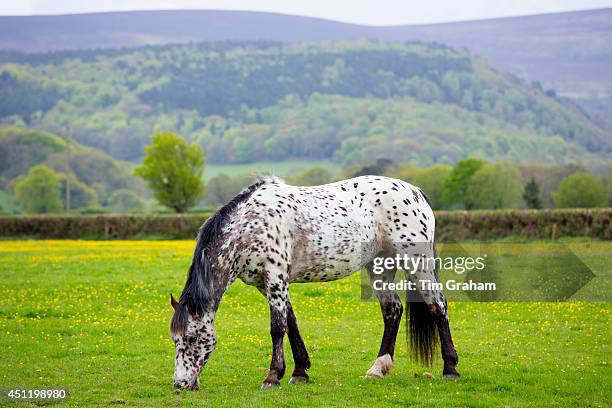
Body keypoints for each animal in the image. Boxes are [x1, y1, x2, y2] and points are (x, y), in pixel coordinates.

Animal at [169, 175, 460, 388]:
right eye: (175, 340)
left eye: (193, 338)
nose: (181, 384)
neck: (250, 224)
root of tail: (415, 192)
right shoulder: (267, 284)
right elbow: (291, 323)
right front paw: (300, 372)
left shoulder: (275, 278)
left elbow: (277, 328)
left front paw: (273, 376)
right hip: (380, 266)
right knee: (392, 311)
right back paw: (378, 368)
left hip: (417, 262)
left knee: (437, 306)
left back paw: (450, 369)